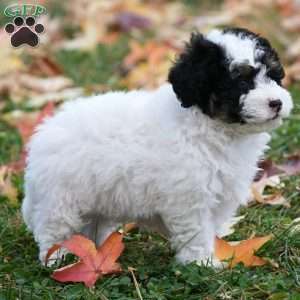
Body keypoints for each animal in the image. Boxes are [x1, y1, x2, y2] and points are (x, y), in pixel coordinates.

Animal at [21, 27, 292, 264]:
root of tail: (41, 137)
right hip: (60, 198)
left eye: (274, 75)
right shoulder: (189, 198)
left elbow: (210, 227)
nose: (277, 102)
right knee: (53, 229)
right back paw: (56, 259)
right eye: (241, 82)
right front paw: (201, 263)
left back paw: (99, 249)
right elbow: (197, 233)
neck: (214, 127)